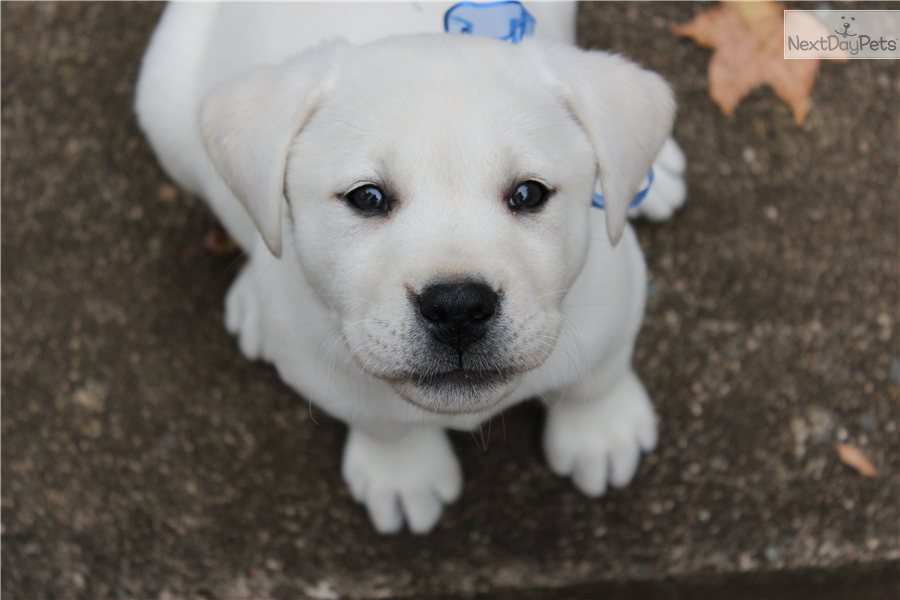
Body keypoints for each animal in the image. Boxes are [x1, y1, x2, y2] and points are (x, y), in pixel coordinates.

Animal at [134, 1, 684, 536]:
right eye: (368, 198)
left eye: (529, 193)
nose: (458, 308)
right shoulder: (325, 372)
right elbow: (383, 422)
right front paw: (403, 475)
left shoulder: (617, 295)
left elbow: (597, 376)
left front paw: (600, 433)